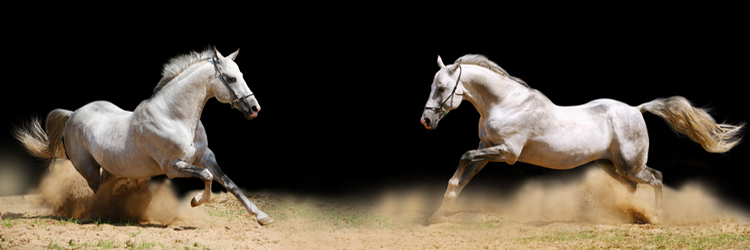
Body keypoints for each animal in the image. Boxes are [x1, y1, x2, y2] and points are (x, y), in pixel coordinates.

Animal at [16, 46, 274, 225]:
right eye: (231, 78)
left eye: (241, 74)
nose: (254, 108)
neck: (174, 117)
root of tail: (73, 114)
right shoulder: (173, 167)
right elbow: (207, 177)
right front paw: (195, 201)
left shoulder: (206, 158)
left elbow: (230, 184)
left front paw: (262, 216)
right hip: (88, 169)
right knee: (97, 192)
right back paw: (101, 214)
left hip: (112, 169)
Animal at [424, 54, 748, 223]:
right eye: (432, 86)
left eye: (441, 88)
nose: (426, 121)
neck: (506, 103)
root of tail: (637, 109)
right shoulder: (488, 148)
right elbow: (463, 176)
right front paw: (439, 212)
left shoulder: (507, 152)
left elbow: (464, 156)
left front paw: (440, 210)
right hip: (609, 165)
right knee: (632, 187)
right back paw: (622, 214)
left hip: (630, 165)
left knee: (656, 178)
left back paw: (656, 217)